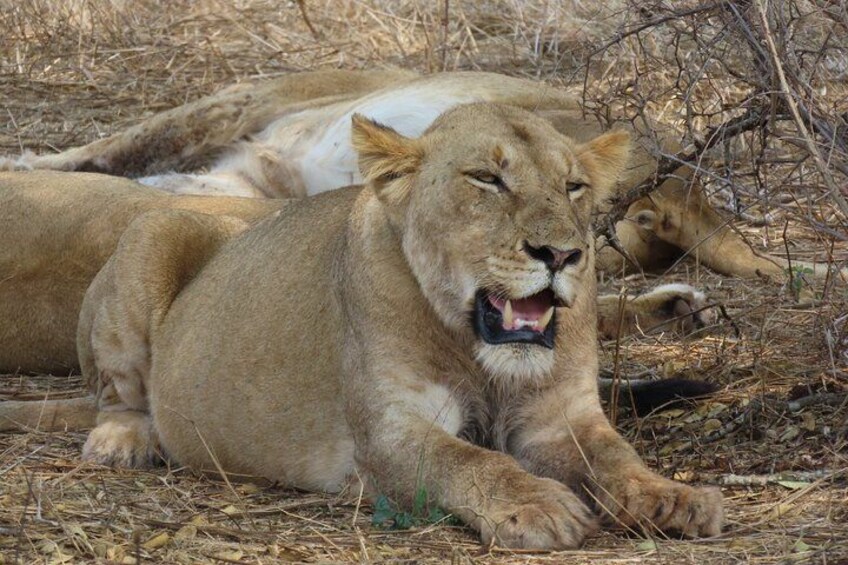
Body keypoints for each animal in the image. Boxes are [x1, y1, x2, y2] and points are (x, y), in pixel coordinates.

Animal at [2, 104, 724, 549]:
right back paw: (123, 441)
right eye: (486, 179)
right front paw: (539, 505)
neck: (478, 348)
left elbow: (617, 457)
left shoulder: (560, 418)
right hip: (154, 228)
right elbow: (471, 458)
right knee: (117, 396)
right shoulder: (390, 430)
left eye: (574, 186)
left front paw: (674, 497)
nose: (562, 255)